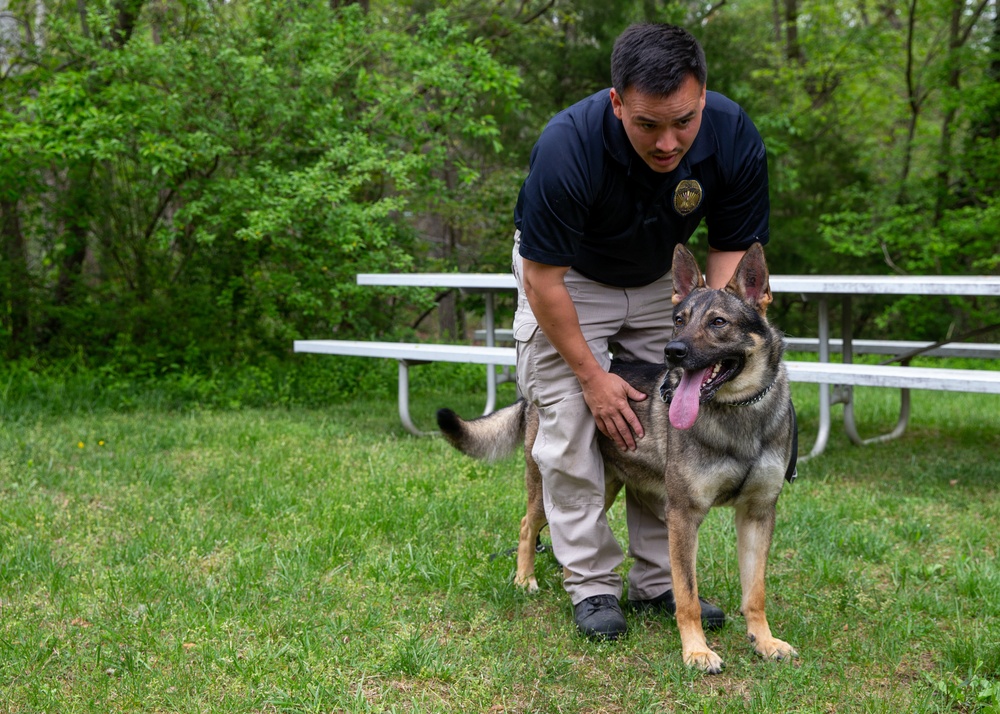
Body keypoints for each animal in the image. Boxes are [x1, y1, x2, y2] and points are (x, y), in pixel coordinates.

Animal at [438, 242, 796, 672]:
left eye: (718, 322)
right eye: (679, 320)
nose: (672, 352)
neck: (740, 416)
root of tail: (529, 398)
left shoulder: (758, 514)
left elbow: (754, 593)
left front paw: (764, 641)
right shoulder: (684, 514)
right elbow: (687, 596)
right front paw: (696, 651)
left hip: (607, 490)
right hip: (553, 487)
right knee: (528, 525)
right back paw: (526, 580)